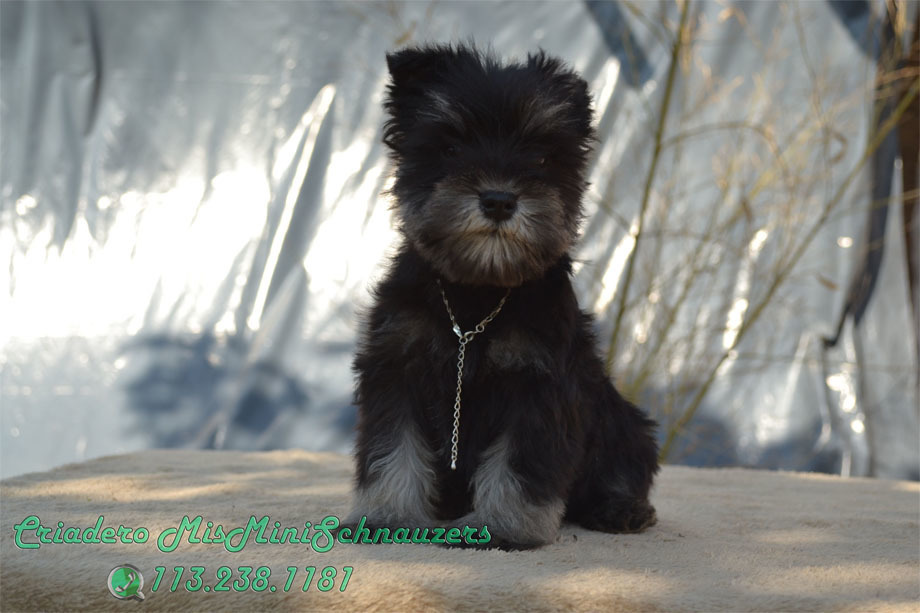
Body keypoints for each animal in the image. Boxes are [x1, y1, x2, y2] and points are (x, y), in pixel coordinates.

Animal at [346, 43, 660, 548]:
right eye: (450, 147)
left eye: (540, 157)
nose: (498, 200)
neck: (475, 296)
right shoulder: (396, 368)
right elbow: (392, 450)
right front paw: (386, 516)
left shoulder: (539, 384)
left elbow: (518, 465)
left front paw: (503, 527)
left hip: (623, 420)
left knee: (620, 466)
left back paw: (621, 508)